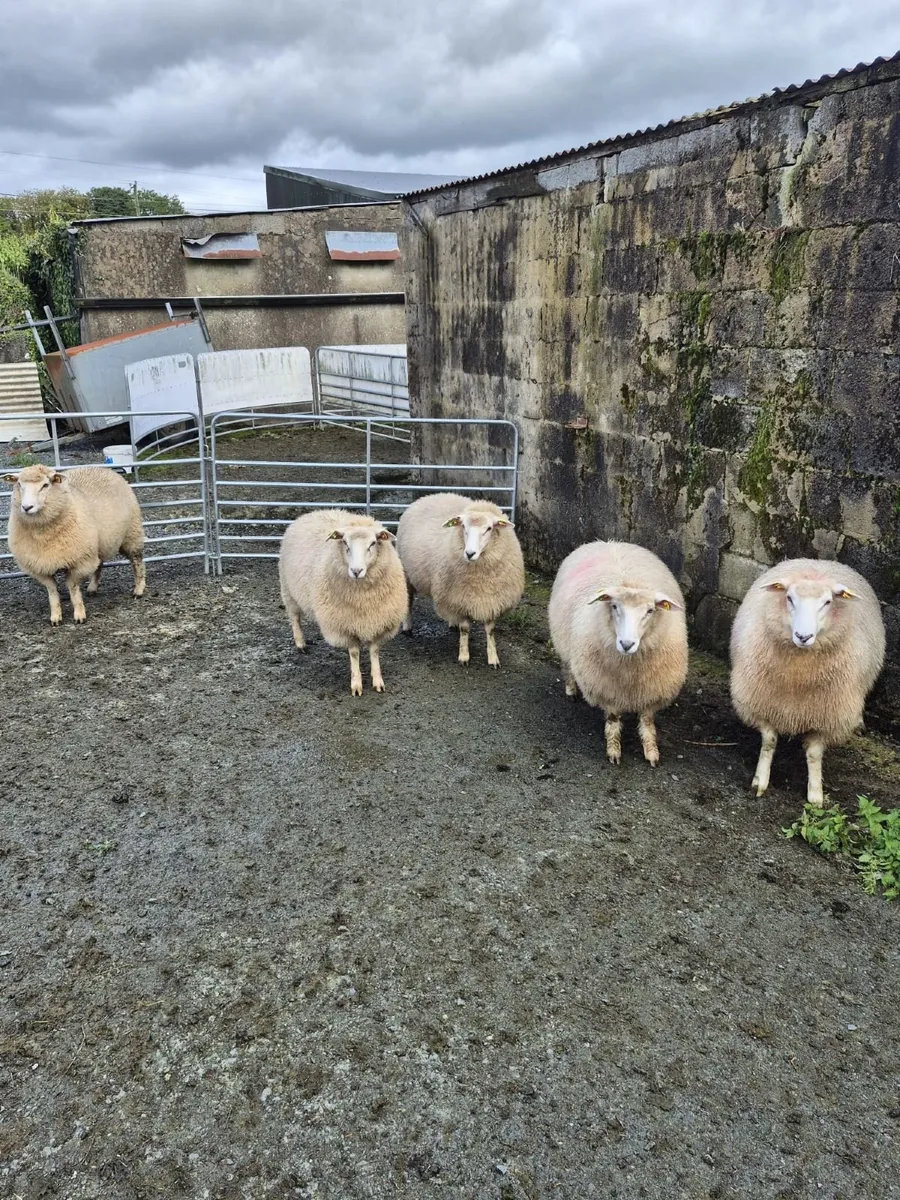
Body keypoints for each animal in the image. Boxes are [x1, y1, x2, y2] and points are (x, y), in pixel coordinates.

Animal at [4, 463, 145, 625]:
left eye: (45, 485)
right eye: (19, 485)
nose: (27, 507)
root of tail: (102, 468)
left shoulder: (79, 562)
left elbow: (73, 589)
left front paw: (79, 615)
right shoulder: (40, 567)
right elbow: (52, 591)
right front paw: (55, 617)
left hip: (131, 533)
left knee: (137, 561)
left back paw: (139, 590)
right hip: (98, 543)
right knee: (99, 564)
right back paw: (93, 588)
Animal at [278, 508, 408, 696]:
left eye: (373, 543)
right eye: (345, 543)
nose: (356, 571)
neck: (363, 599)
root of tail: (313, 512)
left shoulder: (378, 621)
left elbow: (374, 651)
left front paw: (377, 681)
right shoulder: (345, 624)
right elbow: (354, 654)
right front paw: (356, 685)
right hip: (288, 590)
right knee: (295, 618)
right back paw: (300, 643)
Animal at [395, 492, 524, 668]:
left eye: (489, 528)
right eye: (463, 527)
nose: (469, 553)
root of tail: (432, 495)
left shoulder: (492, 600)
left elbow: (490, 630)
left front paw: (493, 658)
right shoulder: (459, 597)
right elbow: (465, 629)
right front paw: (464, 656)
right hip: (406, 572)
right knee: (408, 601)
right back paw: (407, 627)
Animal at [548, 540, 688, 766]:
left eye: (650, 610)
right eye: (614, 606)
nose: (626, 644)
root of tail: (607, 541)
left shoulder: (653, 690)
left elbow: (647, 721)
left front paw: (651, 751)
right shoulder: (607, 688)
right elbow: (613, 719)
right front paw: (613, 749)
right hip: (562, 637)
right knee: (567, 665)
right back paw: (571, 689)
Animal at [730, 558, 885, 807]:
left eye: (828, 602)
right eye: (789, 598)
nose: (803, 636)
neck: (798, 678)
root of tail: (819, 561)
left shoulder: (826, 717)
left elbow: (814, 754)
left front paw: (815, 795)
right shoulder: (763, 704)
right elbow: (769, 741)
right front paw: (760, 781)